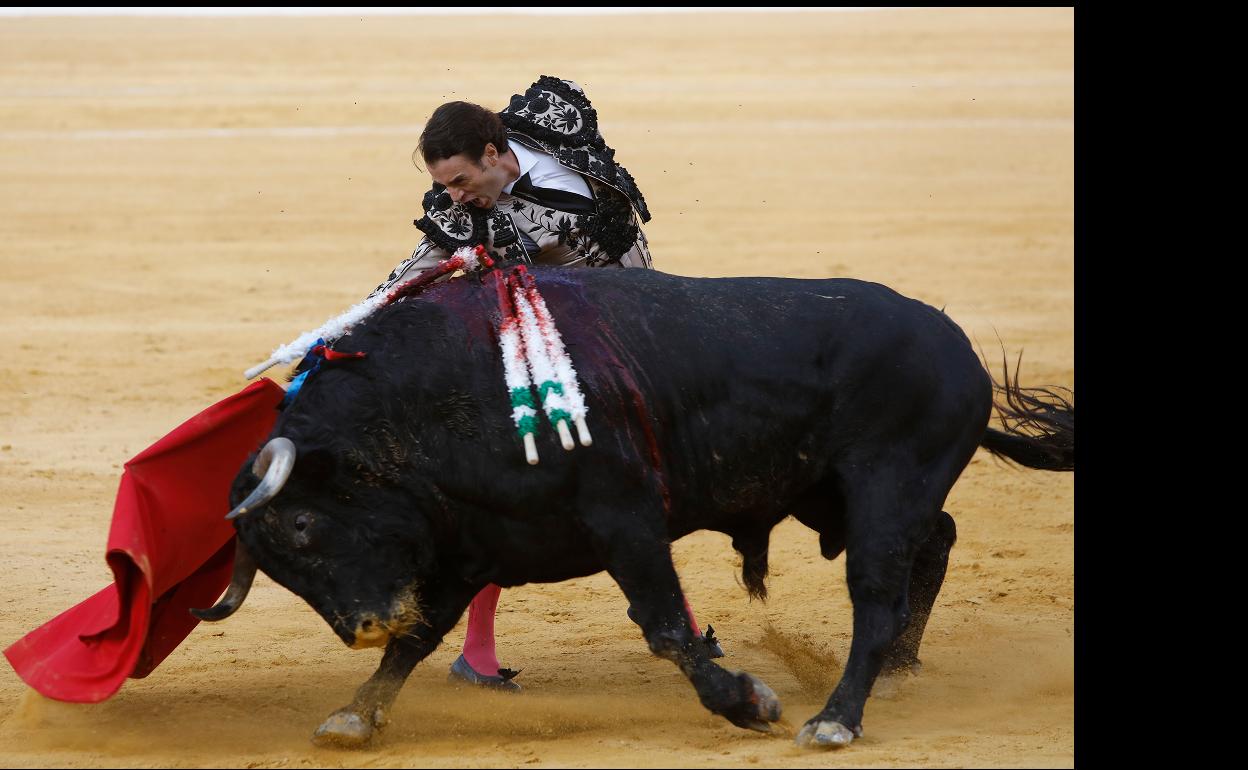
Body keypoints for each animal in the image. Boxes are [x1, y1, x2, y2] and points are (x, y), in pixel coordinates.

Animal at [192, 267, 1073, 748]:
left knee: (877, 597)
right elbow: (420, 640)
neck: (431, 398)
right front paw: (354, 716)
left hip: (887, 485)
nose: (362, 626)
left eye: (304, 523)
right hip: (835, 496)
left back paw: (836, 718)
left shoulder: (627, 521)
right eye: (278, 568)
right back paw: (895, 674)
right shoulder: (473, 546)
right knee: (938, 542)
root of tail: (959, 348)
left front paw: (747, 701)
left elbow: (668, 628)